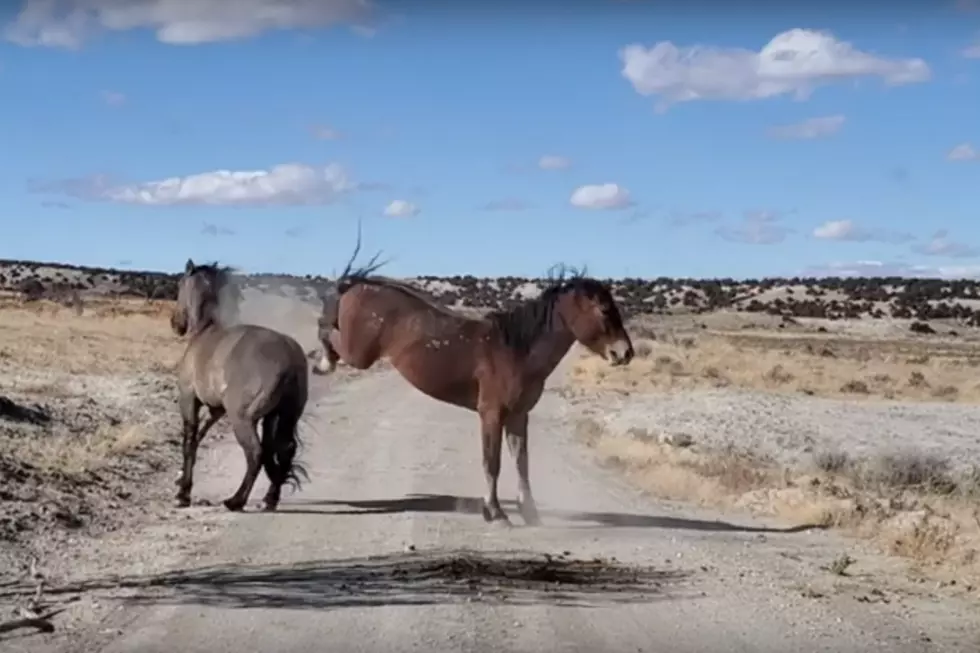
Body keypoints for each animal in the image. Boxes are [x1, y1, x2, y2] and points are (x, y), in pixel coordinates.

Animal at [170, 258, 310, 510]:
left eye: (179, 284)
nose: (175, 323)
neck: (204, 332)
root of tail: (289, 356)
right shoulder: (217, 409)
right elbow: (198, 440)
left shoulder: (189, 400)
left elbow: (189, 441)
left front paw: (183, 493)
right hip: (280, 416)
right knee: (282, 451)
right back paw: (270, 497)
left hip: (243, 418)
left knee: (256, 453)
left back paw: (236, 500)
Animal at [314, 244, 636, 524]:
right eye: (604, 310)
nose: (625, 353)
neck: (515, 349)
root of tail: (356, 286)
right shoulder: (491, 414)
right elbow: (492, 464)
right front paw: (496, 513)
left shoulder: (518, 416)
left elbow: (521, 463)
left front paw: (530, 513)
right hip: (358, 354)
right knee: (326, 333)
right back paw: (323, 363)